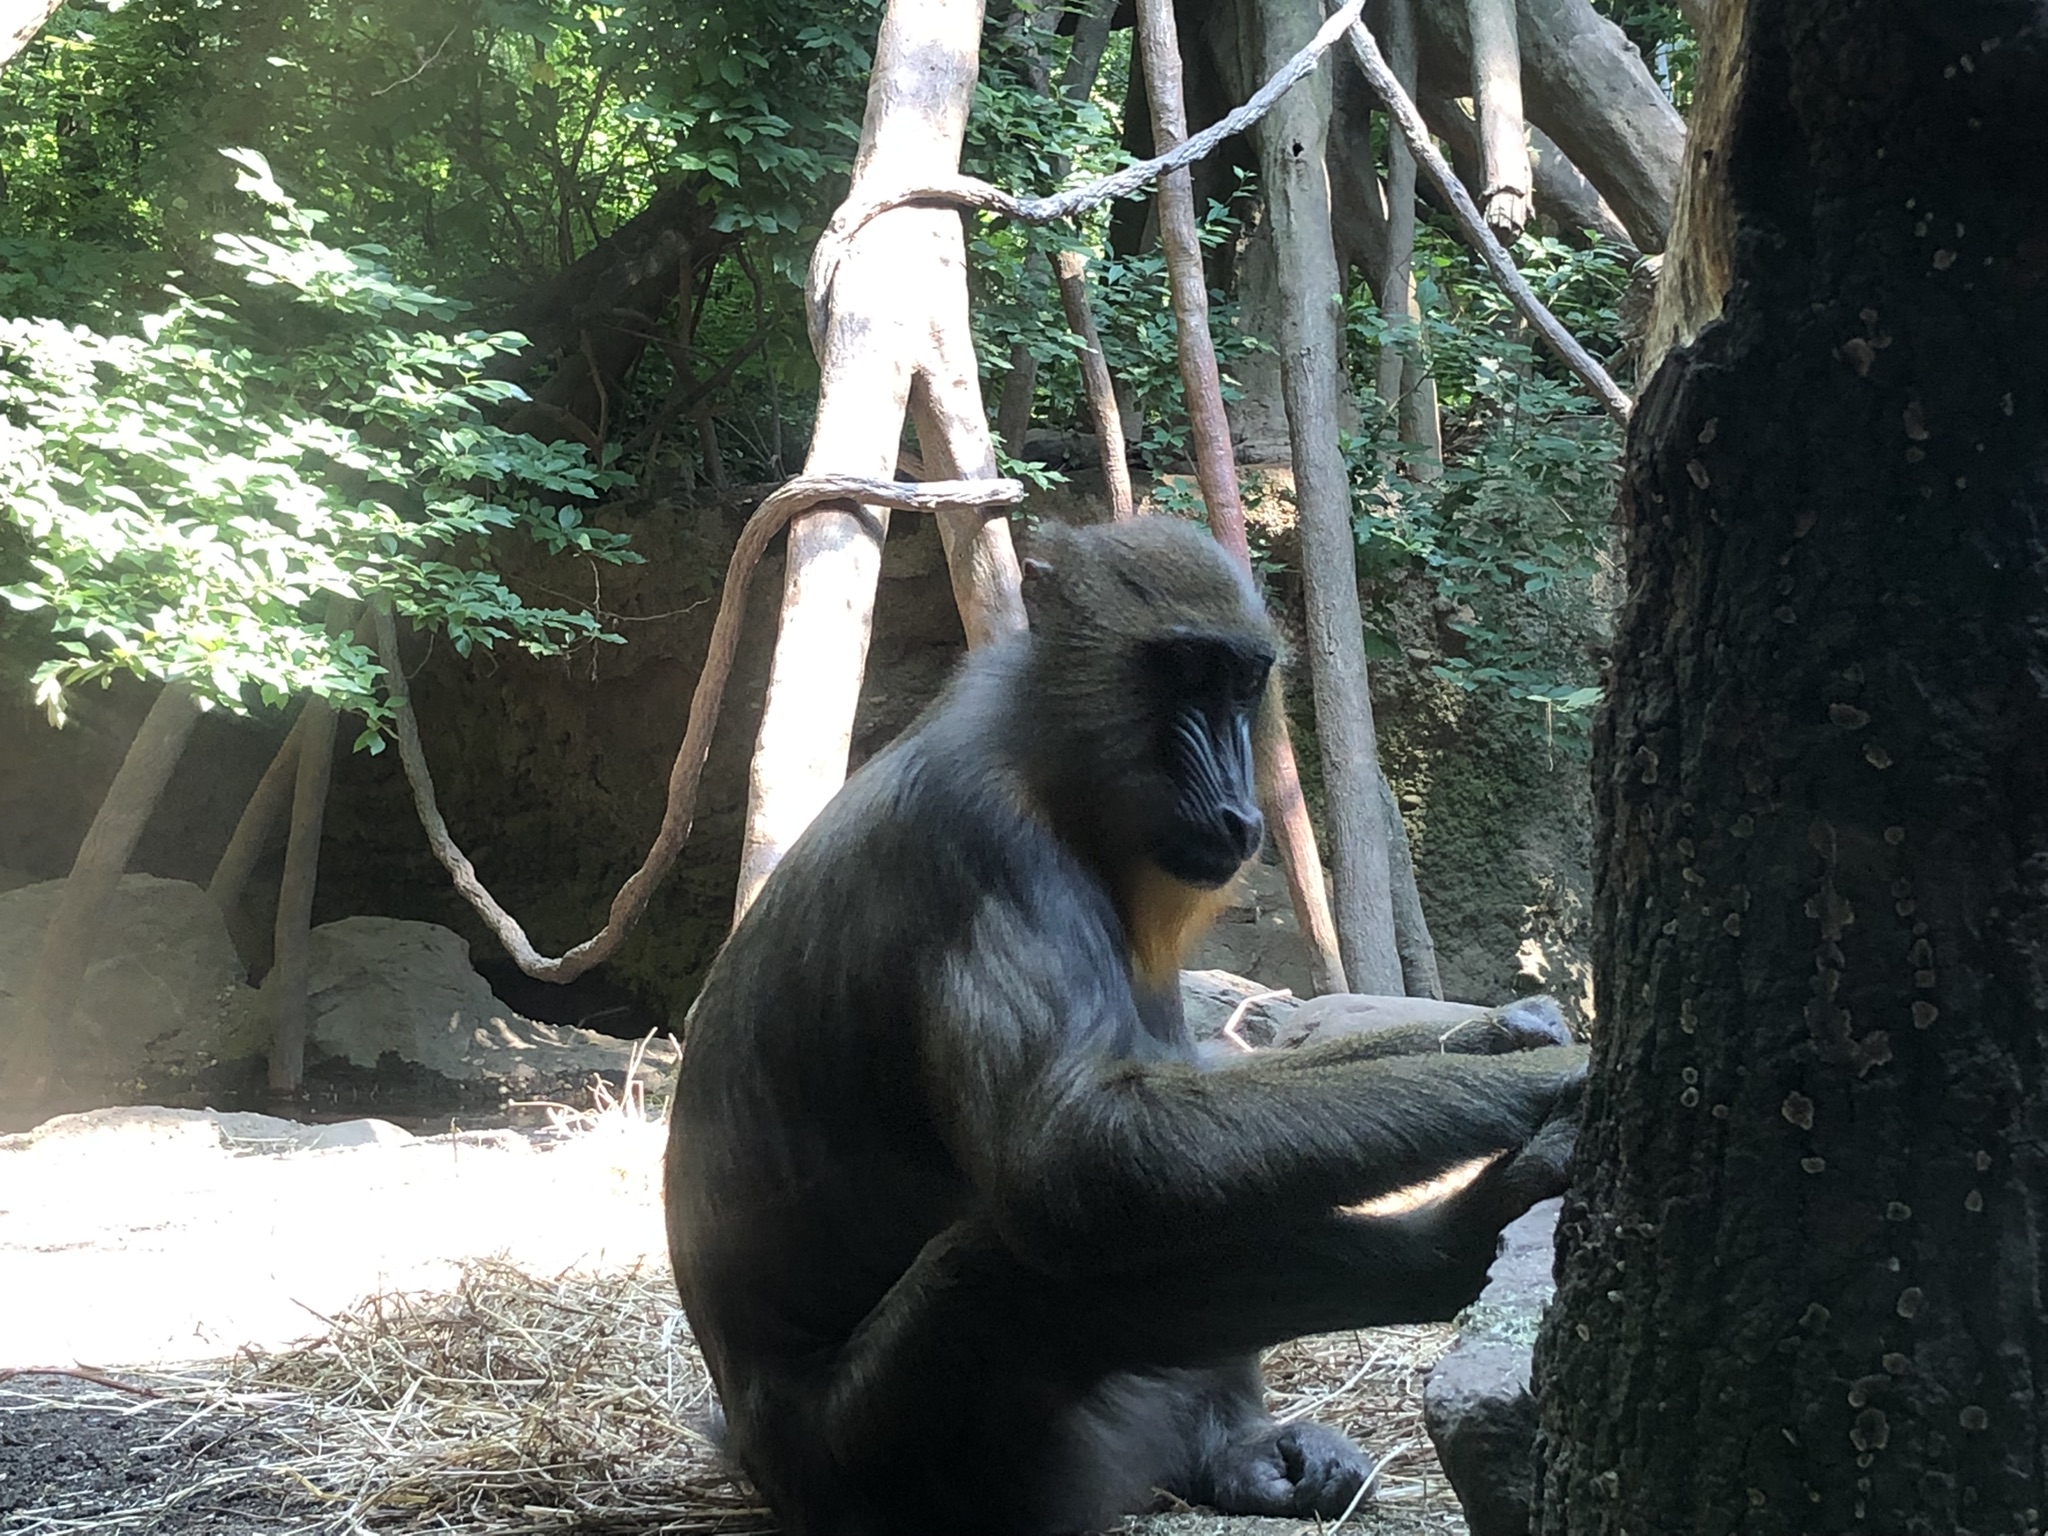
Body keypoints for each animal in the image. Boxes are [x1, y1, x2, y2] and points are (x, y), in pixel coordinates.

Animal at [664, 516, 1586, 1536]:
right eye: (1183, 672)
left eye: (1240, 684)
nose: (1237, 808)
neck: (1053, 769)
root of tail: (750, 1450)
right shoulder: (987, 849)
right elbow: (1072, 1150)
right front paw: (1553, 1076)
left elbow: (1194, 1087)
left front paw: (1514, 1031)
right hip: (872, 1457)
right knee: (1010, 1269)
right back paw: (1458, 1244)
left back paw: (1238, 1450)